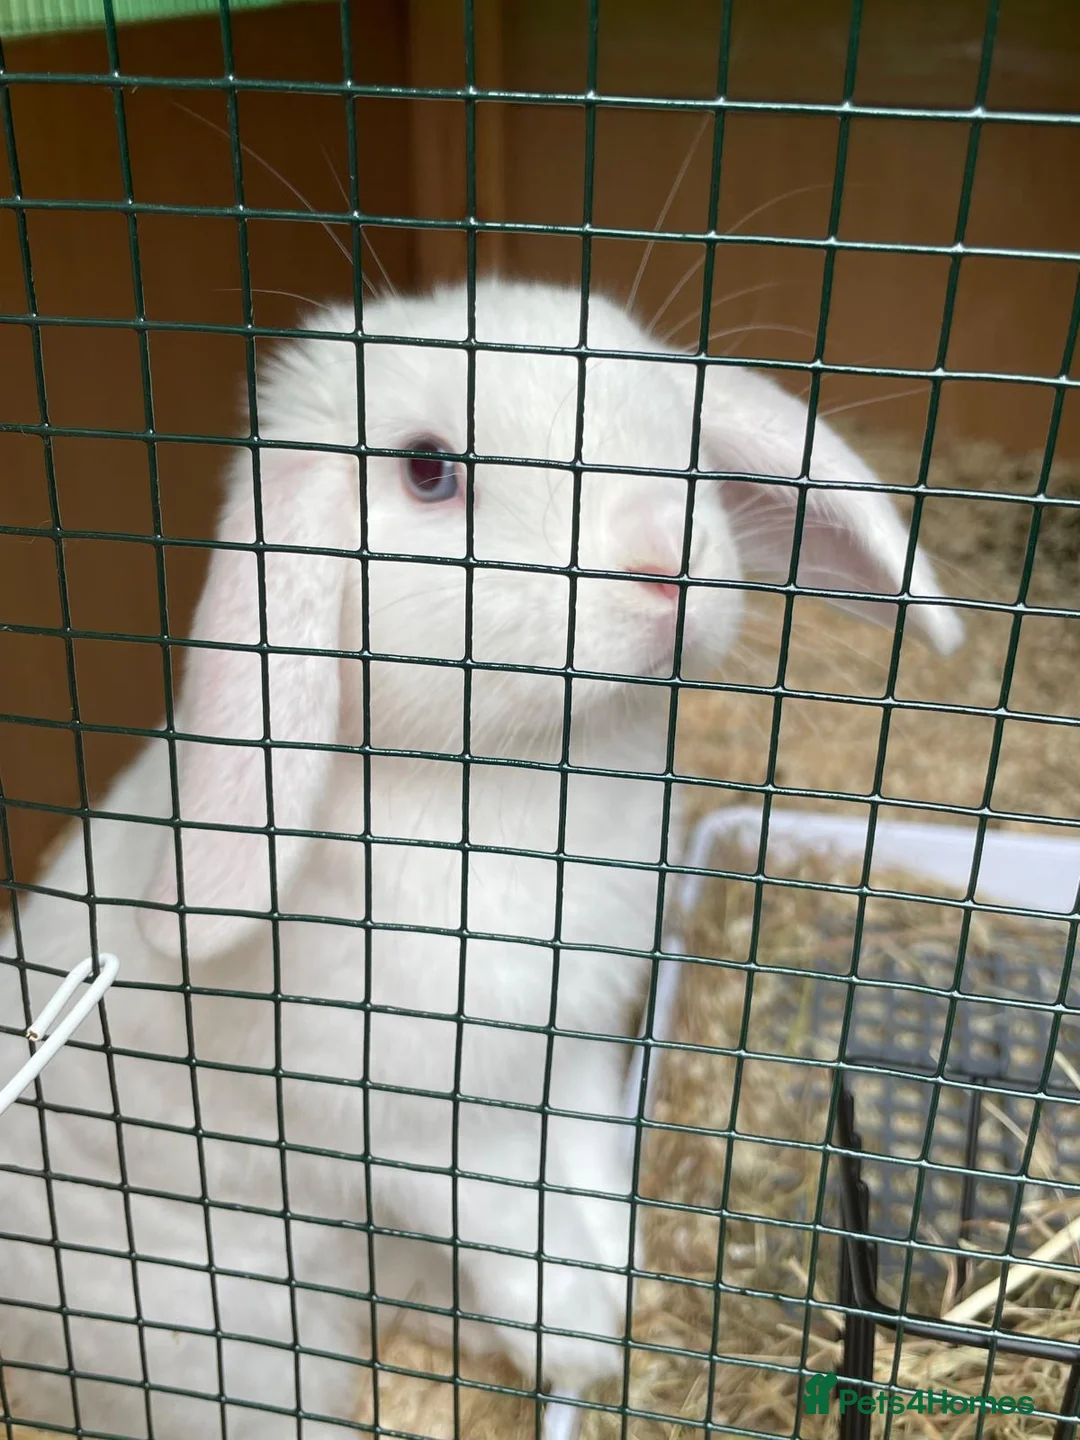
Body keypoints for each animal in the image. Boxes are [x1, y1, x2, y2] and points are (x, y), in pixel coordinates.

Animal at [0, 277, 962, 1440]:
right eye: (426, 470)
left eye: (676, 432)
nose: (666, 565)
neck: (531, 776)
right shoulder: (414, 1125)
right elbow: (508, 1227)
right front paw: (586, 1333)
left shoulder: (574, 1050)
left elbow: (583, 1163)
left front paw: (622, 1267)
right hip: (224, 1350)